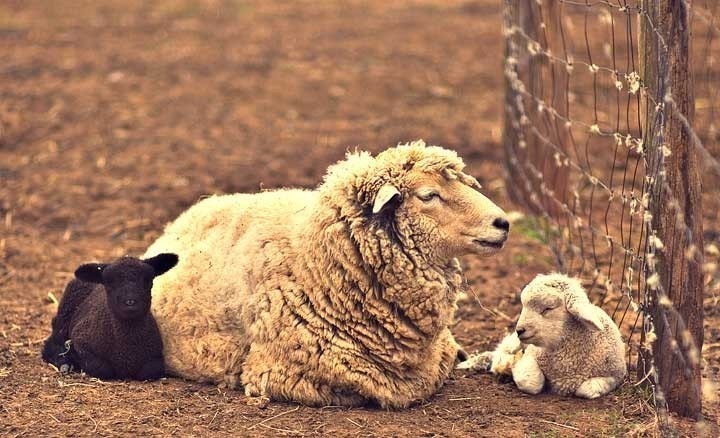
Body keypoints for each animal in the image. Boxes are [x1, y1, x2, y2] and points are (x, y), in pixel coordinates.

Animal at [41, 253, 178, 380]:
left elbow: (150, 371)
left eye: (148, 280)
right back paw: (64, 363)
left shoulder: (156, 355)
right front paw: (74, 358)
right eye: (109, 282)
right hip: (64, 315)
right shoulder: (81, 340)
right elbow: (103, 369)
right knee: (51, 342)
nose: (130, 302)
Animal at [457, 273, 627, 399]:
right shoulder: (532, 355)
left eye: (548, 308)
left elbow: (585, 390)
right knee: (499, 353)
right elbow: (532, 382)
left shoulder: (615, 376)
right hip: (512, 343)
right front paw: (514, 366)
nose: (520, 330)